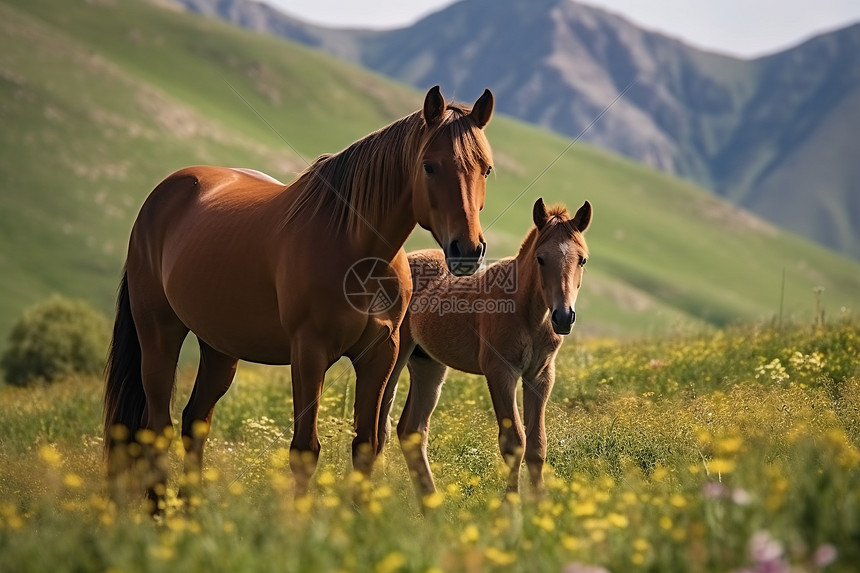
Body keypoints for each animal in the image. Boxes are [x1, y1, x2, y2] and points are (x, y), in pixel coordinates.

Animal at [103, 85, 498, 504]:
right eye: (429, 166)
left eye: (486, 168)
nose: (467, 250)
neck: (354, 247)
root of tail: (164, 193)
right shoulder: (309, 353)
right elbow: (305, 449)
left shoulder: (380, 355)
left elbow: (366, 445)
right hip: (159, 333)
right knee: (156, 425)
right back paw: (159, 510)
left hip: (219, 348)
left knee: (194, 421)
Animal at [382, 198, 592, 504]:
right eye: (540, 258)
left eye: (582, 259)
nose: (564, 317)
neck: (528, 314)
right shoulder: (500, 372)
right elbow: (514, 442)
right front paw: (511, 507)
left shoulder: (541, 376)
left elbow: (537, 445)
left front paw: (541, 505)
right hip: (394, 359)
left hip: (428, 365)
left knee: (411, 430)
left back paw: (430, 503)